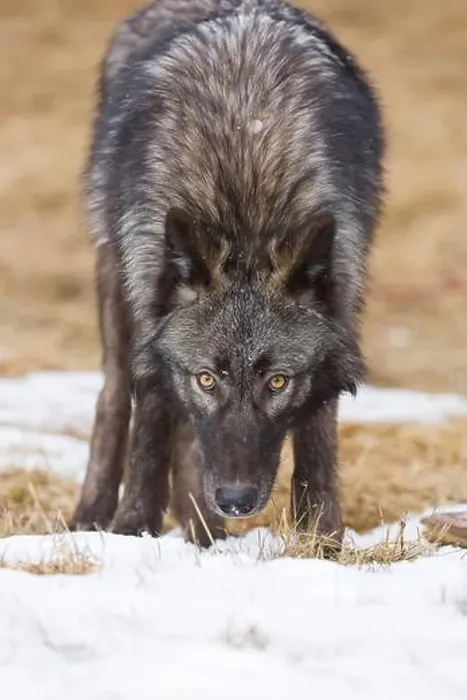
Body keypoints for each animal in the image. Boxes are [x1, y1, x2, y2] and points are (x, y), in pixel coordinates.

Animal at [70, 0, 385, 551]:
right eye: (206, 378)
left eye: (278, 381)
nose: (235, 500)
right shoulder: (150, 311)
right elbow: (149, 432)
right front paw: (133, 531)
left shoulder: (341, 305)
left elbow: (317, 447)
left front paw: (321, 544)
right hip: (115, 288)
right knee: (114, 398)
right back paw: (96, 515)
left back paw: (204, 531)